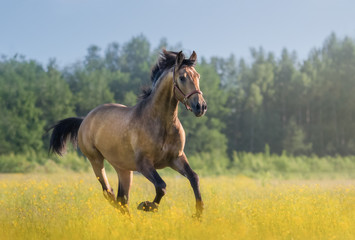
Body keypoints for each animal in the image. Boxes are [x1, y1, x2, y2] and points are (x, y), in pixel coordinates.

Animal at [48, 49, 207, 217]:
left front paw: (198, 213)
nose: (201, 106)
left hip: (123, 169)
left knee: (121, 199)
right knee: (109, 193)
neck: (162, 123)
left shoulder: (177, 158)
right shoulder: (144, 164)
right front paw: (146, 205)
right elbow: (161, 186)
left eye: (197, 76)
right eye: (182, 77)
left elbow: (194, 178)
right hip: (96, 160)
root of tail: (85, 119)